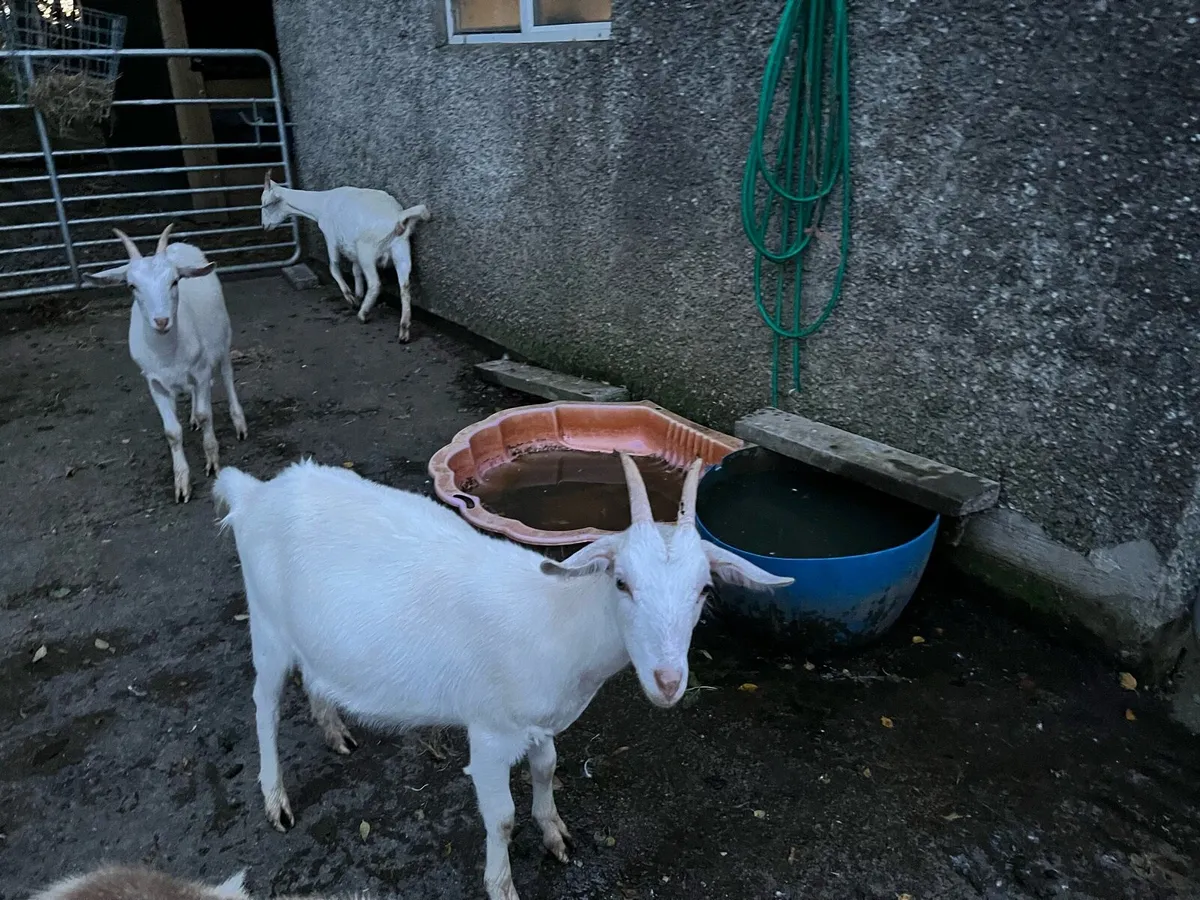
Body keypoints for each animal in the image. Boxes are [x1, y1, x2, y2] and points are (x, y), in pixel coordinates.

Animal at [87, 224, 247, 503]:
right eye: (131, 286)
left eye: (175, 281)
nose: (161, 321)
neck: (168, 352)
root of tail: (181, 245)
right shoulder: (154, 382)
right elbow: (172, 432)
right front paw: (182, 484)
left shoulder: (201, 370)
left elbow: (207, 414)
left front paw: (212, 460)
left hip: (223, 338)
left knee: (227, 375)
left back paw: (238, 422)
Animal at [213, 453, 791, 900]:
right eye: (622, 582)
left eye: (704, 589)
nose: (668, 681)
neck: (555, 620)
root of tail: (255, 493)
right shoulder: (489, 733)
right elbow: (502, 818)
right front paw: (502, 884)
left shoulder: (540, 722)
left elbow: (548, 768)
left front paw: (556, 834)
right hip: (266, 625)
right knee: (264, 705)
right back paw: (276, 799)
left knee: (314, 677)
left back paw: (334, 730)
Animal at [260, 173, 430, 342]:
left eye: (265, 204)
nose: (264, 226)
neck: (322, 204)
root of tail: (398, 217)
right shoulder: (352, 249)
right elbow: (356, 271)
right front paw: (358, 294)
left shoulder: (330, 237)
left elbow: (333, 267)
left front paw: (350, 297)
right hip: (401, 251)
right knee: (405, 287)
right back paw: (404, 330)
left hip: (367, 251)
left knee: (375, 284)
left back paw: (363, 314)